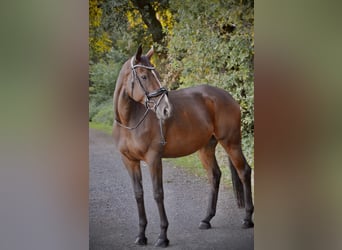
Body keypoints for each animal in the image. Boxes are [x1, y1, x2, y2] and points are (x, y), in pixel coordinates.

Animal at [113, 45, 254, 248]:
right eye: (144, 76)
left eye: (156, 73)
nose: (165, 109)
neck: (130, 120)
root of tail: (228, 96)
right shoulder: (129, 161)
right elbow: (138, 194)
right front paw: (141, 236)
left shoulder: (153, 159)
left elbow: (158, 193)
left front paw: (162, 237)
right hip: (206, 148)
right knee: (215, 175)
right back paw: (206, 219)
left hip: (231, 142)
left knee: (244, 171)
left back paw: (247, 219)